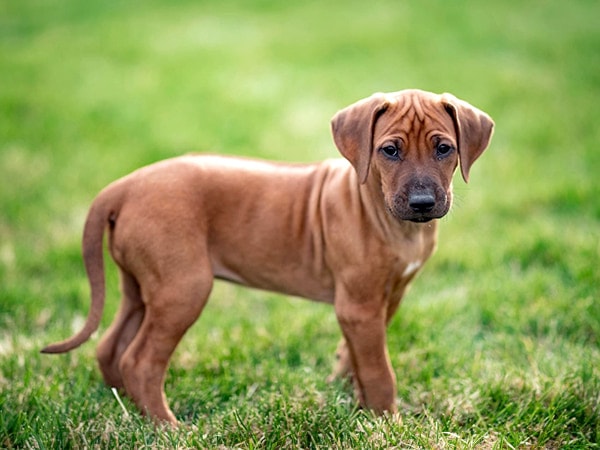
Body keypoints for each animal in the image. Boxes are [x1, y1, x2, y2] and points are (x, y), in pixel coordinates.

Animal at [41, 89, 492, 424]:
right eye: (390, 151)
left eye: (444, 148)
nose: (422, 203)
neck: (385, 215)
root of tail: (124, 185)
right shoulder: (359, 305)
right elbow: (380, 370)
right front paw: (386, 422)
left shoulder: (386, 298)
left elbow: (356, 356)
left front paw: (353, 400)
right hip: (182, 288)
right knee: (139, 360)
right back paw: (166, 426)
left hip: (139, 285)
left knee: (110, 348)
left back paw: (125, 408)